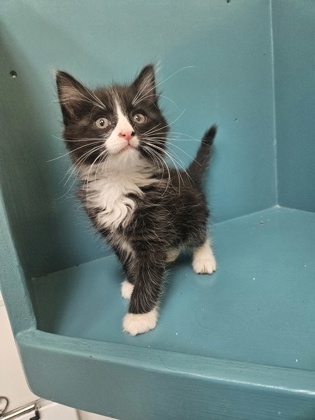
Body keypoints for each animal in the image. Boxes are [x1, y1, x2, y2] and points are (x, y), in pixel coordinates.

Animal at [56, 65, 217, 334]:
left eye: (138, 118)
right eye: (102, 122)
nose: (126, 133)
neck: (120, 181)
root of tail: (187, 176)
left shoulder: (155, 224)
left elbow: (149, 267)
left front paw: (140, 315)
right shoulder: (109, 229)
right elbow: (127, 257)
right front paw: (132, 283)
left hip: (190, 208)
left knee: (199, 231)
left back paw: (203, 257)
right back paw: (170, 254)